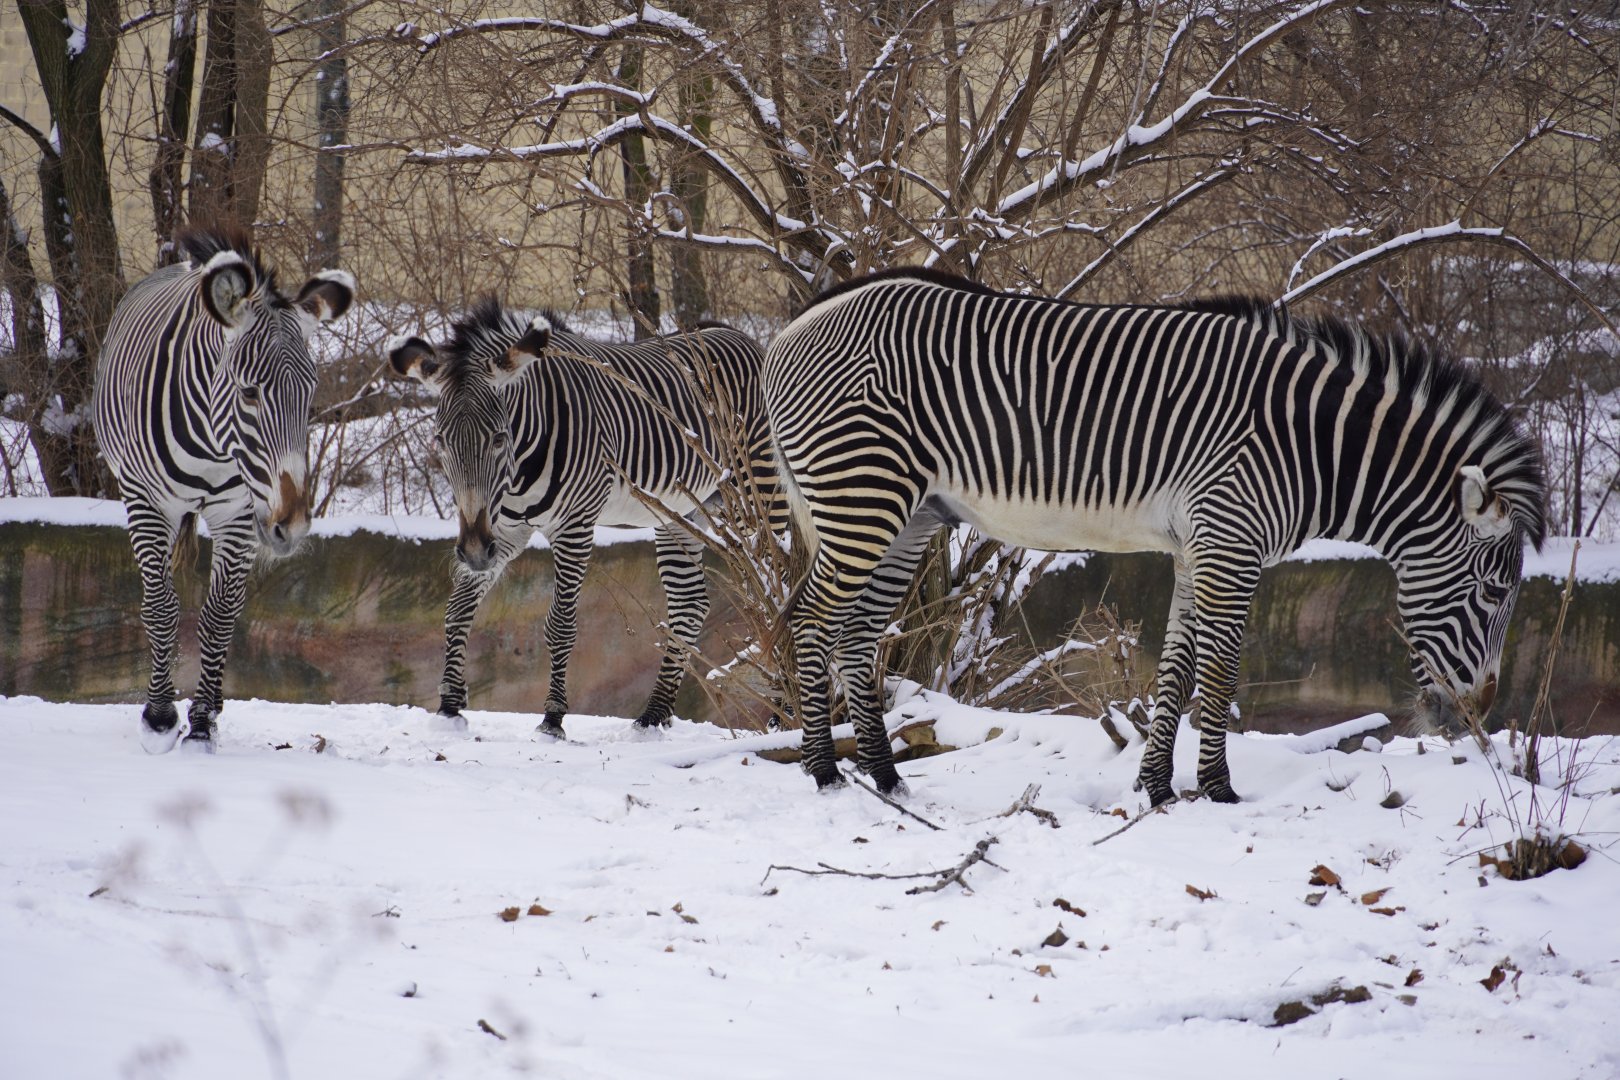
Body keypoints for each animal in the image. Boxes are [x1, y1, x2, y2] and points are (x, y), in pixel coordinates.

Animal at [92, 228, 356, 753]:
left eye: (311, 394)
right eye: (250, 392)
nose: (292, 525)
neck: (212, 446)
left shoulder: (238, 512)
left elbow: (217, 615)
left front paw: (201, 724)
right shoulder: (147, 502)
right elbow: (161, 607)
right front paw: (159, 718)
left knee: (228, 608)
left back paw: (210, 704)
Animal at [387, 299, 780, 737]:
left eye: (499, 438)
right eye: (440, 440)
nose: (472, 552)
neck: (517, 473)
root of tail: (745, 338)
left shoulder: (574, 526)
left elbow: (560, 623)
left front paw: (552, 718)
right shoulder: (501, 530)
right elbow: (457, 609)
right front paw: (450, 706)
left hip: (756, 496)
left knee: (776, 591)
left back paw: (782, 716)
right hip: (682, 512)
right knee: (688, 603)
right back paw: (653, 715)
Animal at [763, 268, 1545, 805]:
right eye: (1493, 590)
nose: (1477, 714)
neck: (1311, 446)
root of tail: (793, 326)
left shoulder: (1197, 547)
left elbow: (1175, 669)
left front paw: (1157, 789)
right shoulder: (1231, 542)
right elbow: (1219, 673)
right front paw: (1221, 792)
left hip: (909, 515)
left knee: (858, 632)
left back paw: (888, 778)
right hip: (864, 498)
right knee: (809, 619)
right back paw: (825, 774)